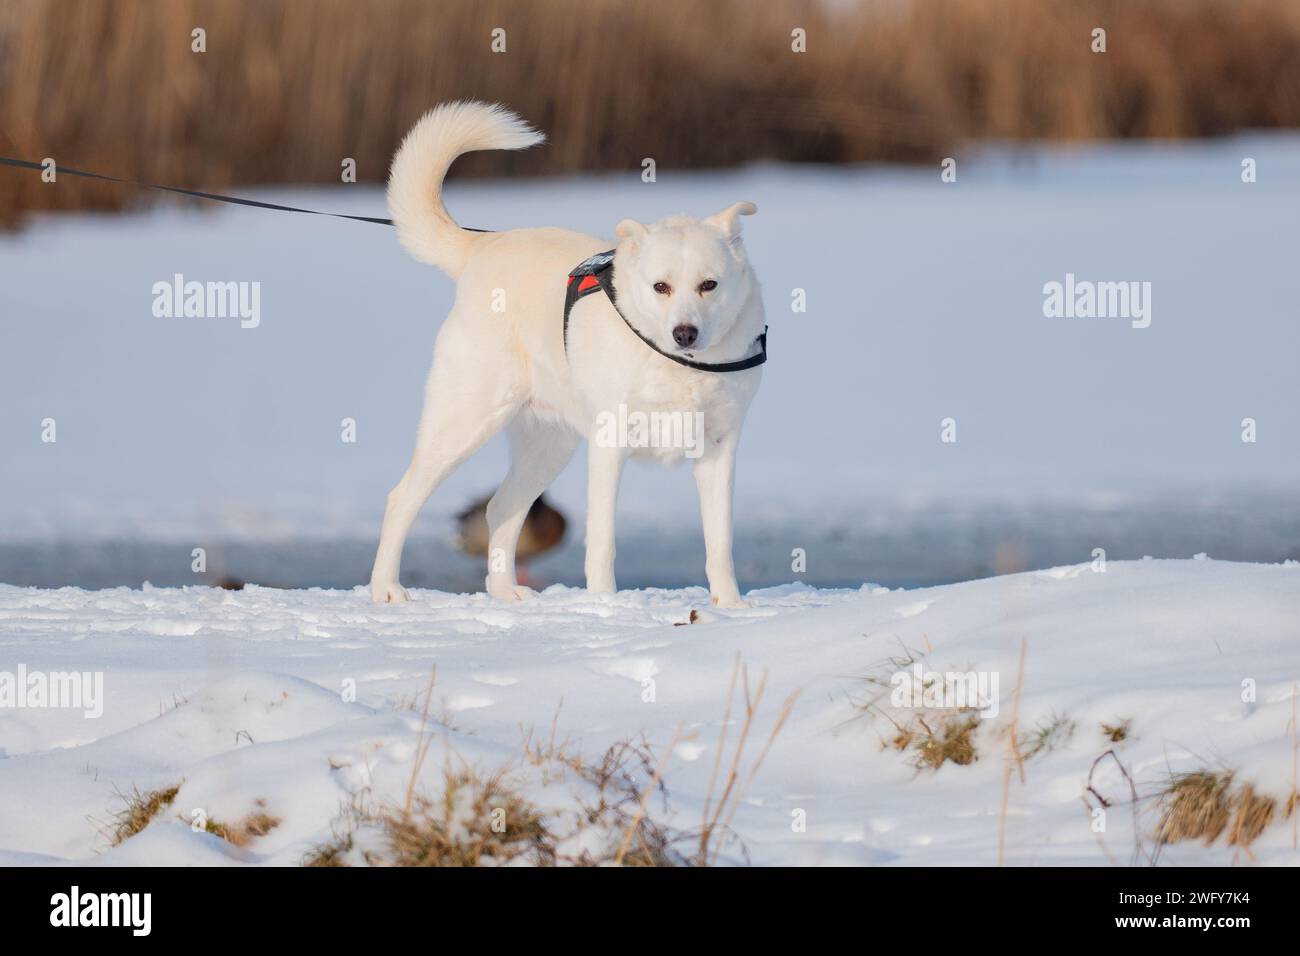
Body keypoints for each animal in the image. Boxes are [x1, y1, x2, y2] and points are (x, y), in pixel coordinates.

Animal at [371, 102, 764, 606]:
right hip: (462, 422)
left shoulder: (718, 449)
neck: (678, 367)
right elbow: (603, 543)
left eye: (709, 284)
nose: (685, 333)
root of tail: (482, 246)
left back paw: (506, 591)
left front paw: (731, 608)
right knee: (401, 498)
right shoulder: (609, 447)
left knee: (501, 508)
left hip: (548, 445)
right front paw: (605, 607)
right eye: (660, 286)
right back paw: (386, 588)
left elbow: (720, 544)